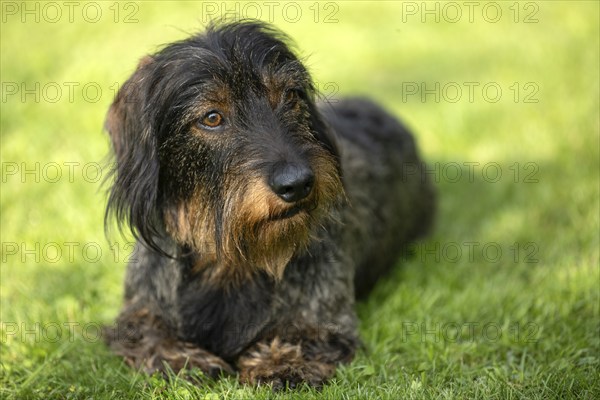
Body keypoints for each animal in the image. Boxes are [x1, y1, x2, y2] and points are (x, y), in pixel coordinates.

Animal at [102, 19, 432, 388]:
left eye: (290, 96)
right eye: (212, 118)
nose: (298, 183)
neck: (233, 255)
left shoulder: (327, 322)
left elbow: (305, 336)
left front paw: (280, 360)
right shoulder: (140, 310)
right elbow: (144, 333)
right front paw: (184, 358)